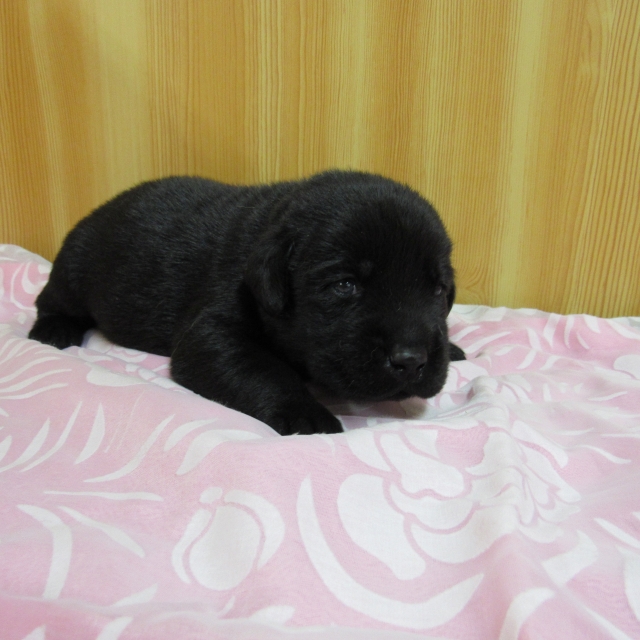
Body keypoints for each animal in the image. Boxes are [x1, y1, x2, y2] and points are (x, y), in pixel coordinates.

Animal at [29, 170, 465, 435]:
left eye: (438, 290)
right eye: (346, 285)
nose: (411, 360)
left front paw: (454, 347)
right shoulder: (213, 334)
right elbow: (265, 371)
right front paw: (308, 415)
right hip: (75, 267)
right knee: (51, 300)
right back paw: (52, 330)